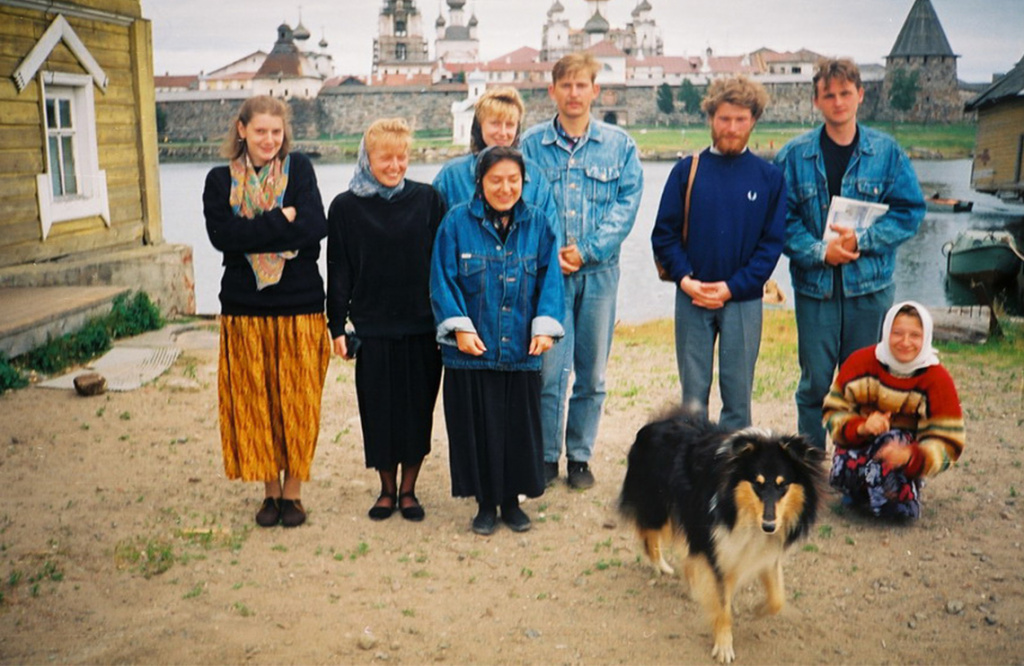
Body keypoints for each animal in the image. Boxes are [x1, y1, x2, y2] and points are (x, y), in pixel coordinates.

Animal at [614, 407, 823, 659]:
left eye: (783, 485)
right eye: (757, 483)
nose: (769, 526)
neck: (739, 509)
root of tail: (652, 425)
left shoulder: (762, 550)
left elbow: (777, 599)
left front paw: (757, 610)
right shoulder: (719, 548)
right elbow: (723, 604)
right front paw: (723, 647)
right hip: (658, 504)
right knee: (649, 533)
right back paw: (661, 565)